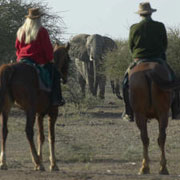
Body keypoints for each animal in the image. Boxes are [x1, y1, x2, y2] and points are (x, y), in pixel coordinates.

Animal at [0, 43, 71, 171]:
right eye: (68, 59)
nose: (65, 78)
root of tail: (10, 68)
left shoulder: (39, 114)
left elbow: (41, 137)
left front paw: (42, 160)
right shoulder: (52, 113)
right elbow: (51, 137)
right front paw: (53, 164)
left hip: (6, 108)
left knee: (4, 130)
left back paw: (3, 162)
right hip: (30, 110)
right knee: (28, 131)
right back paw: (37, 161)